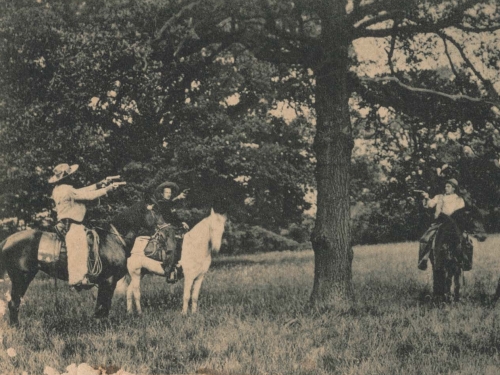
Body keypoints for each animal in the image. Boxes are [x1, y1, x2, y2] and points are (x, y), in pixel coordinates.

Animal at [0, 201, 168, 328]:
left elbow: (103, 304)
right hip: (21, 278)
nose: (166, 231)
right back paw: (16, 327)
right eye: (156, 212)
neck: (113, 240)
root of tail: (7, 240)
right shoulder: (108, 280)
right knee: (14, 303)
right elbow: (103, 304)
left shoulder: (107, 281)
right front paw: (101, 324)